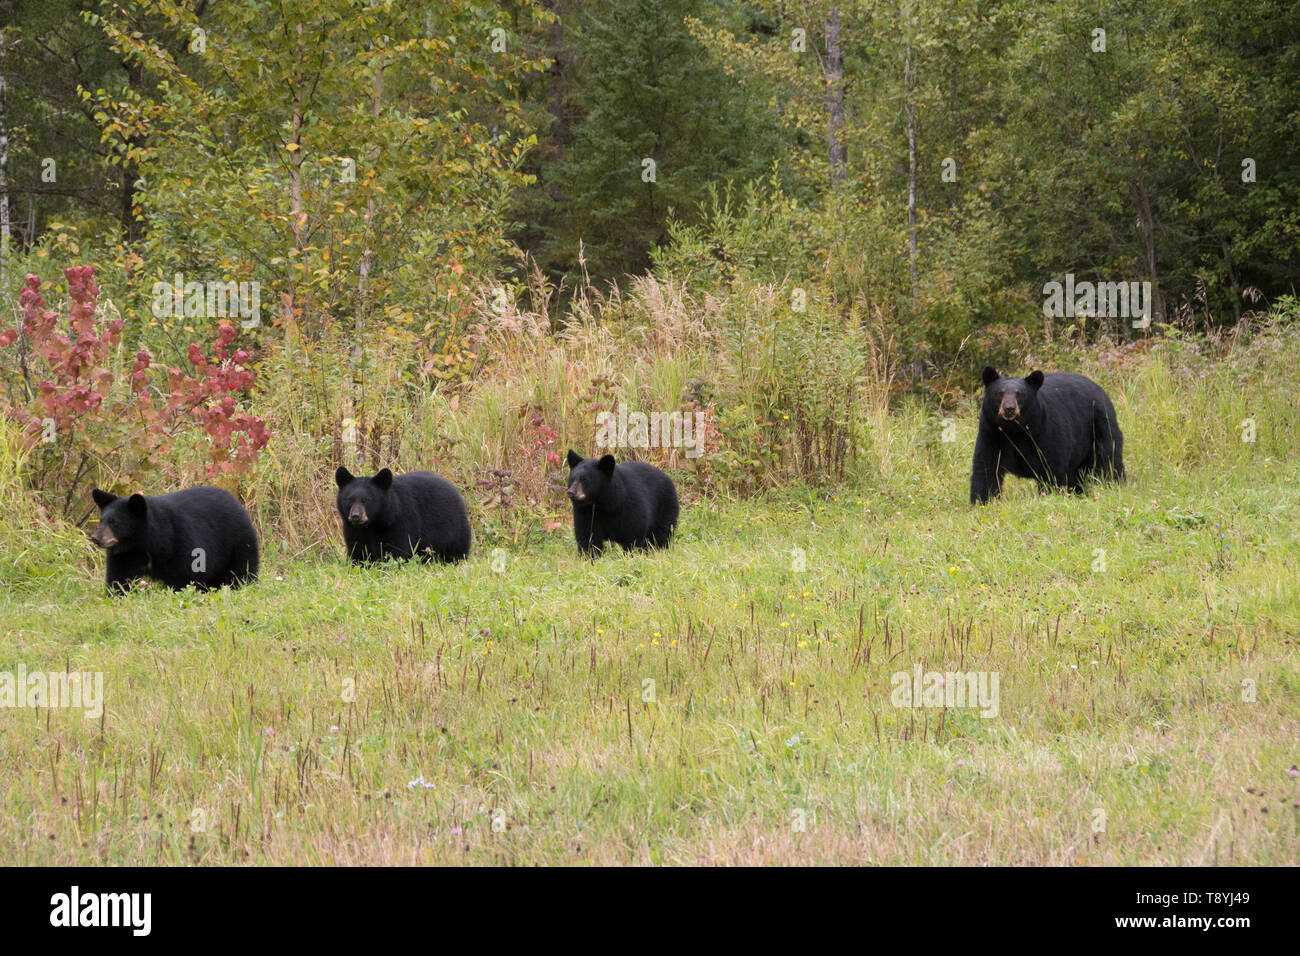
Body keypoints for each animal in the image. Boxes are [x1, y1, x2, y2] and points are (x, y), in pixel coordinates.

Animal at [89, 489, 258, 595]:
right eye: (102, 521)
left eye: (114, 523)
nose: (95, 537)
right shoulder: (125, 555)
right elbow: (119, 577)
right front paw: (117, 594)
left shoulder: (182, 543)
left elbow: (184, 577)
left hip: (238, 543)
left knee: (241, 571)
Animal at [335, 468, 473, 564]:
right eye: (350, 500)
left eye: (366, 500)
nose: (356, 516)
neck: (373, 524)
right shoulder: (352, 529)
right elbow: (358, 550)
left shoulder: (400, 522)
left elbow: (395, 551)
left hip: (454, 531)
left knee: (456, 551)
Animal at [972, 364, 1123, 504]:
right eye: (1000, 393)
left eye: (1020, 394)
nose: (1009, 409)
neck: (1015, 430)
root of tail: (1100, 389)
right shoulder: (991, 433)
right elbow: (986, 468)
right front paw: (982, 502)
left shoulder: (1044, 431)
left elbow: (1051, 468)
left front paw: (1051, 496)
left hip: (1101, 426)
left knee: (1109, 460)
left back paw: (1116, 485)